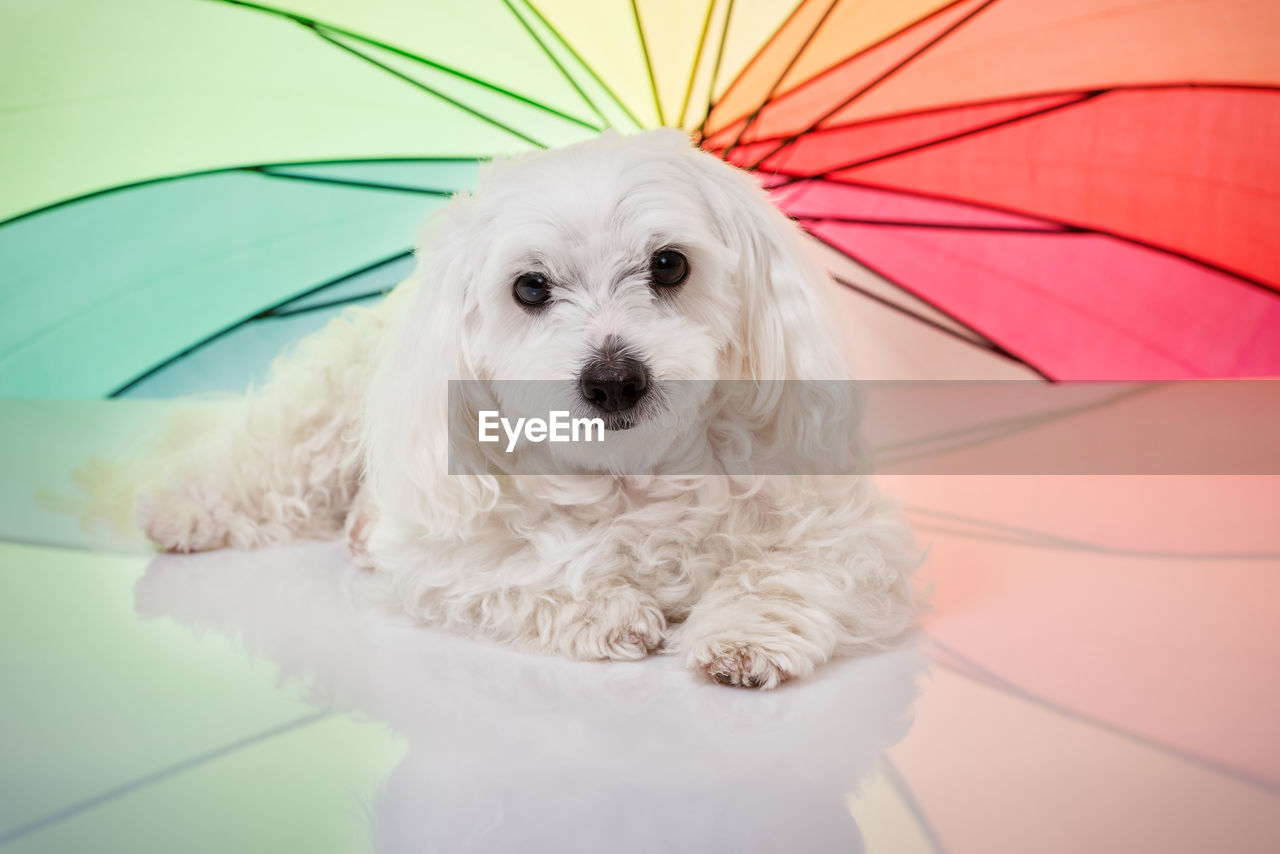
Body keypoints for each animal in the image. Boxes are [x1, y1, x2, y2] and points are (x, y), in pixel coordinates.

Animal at [137, 128, 921, 686]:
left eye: (670, 263)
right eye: (531, 287)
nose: (614, 381)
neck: (632, 475)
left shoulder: (848, 529)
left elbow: (787, 568)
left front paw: (743, 636)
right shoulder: (447, 555)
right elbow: (522, 563)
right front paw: (606, 609)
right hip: (328, 413)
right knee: (262, 460)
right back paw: (183, 512)